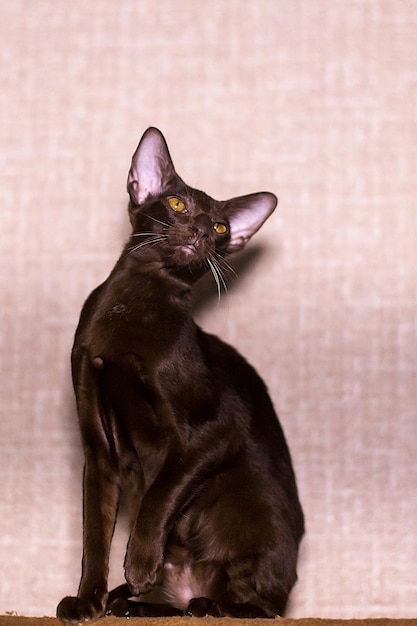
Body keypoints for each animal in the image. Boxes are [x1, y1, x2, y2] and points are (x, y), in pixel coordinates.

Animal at [56, 127, 302, 620]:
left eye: (222, 227)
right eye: (177, 205)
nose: (203, 230)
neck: (138, 301)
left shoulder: (215, 432)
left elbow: (160, 494)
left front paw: (139, 564)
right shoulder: (97, 447)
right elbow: (95, 535)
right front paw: (88, 600)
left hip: (246, 502)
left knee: (266, 605)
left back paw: (207, 605)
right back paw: (130, 604)